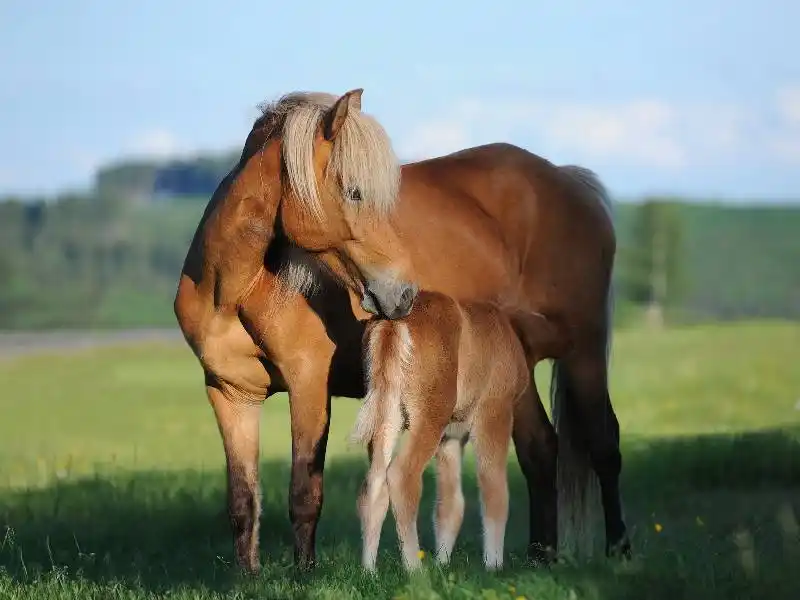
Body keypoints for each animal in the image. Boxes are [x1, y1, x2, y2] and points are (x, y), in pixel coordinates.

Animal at [352, 290, 532, 572]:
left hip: (386, 416)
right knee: (402, 477)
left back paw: (369, 572)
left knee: (373, 484)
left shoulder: (451, 437)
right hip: (429, 417)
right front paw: (494, 566)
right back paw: (414, 569)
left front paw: (442, 564)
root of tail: (393, 322)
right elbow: (495, 489)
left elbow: (450, 505)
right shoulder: (495, 412)